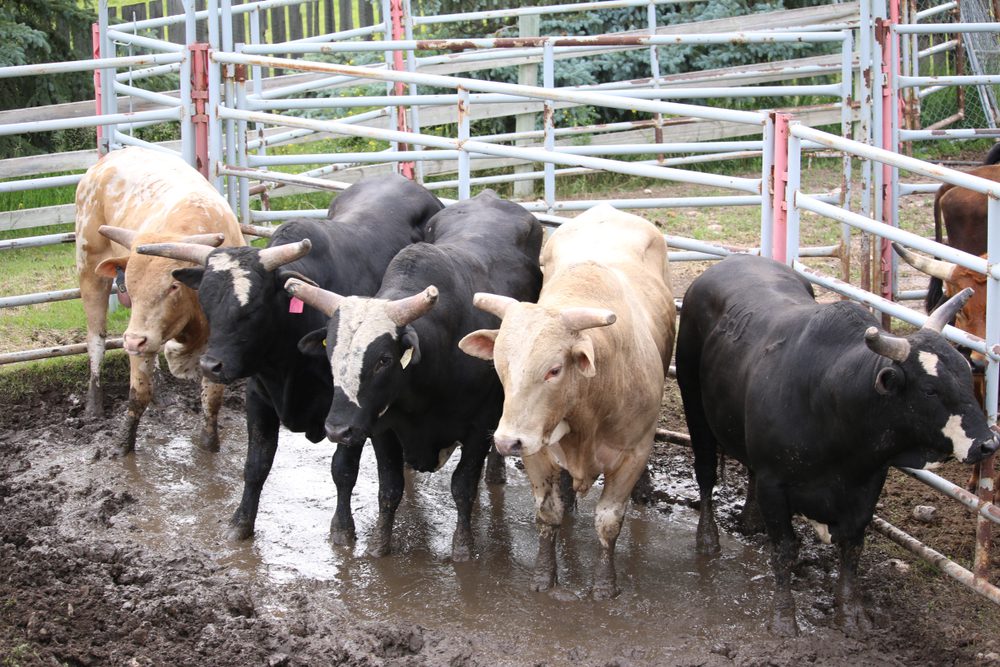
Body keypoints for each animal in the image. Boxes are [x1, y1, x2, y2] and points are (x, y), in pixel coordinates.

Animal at [74, 147, 246, 454]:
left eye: (173, 285)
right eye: (131, 285)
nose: (132, 341)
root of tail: (107, 160)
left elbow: (212, 399)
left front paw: (209, 445)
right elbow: (138, 394)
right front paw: (123, 446)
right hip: (90, 270)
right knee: (96, 339)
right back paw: (94, 404)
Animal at [136, 175, 442, 540]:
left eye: (252, 308)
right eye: (206, 303)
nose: (211, 366)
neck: (286, 363)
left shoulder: (352, 409)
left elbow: (343, 470)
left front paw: (342, 529)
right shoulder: (258, 397)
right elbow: (256, 465)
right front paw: (240, 522)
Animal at [458, 204, 676, 600]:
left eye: (554, 370)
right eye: (499, 365)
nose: (505, 442)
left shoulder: (632, 454)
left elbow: (608, 522)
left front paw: (604, 585)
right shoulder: (536, 450)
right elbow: (548, 514)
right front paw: (544, 576)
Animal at [676, 254, 996, 636]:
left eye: (965, 374)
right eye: (930, 390)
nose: (987, 444)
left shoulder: (868, 483)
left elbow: (852, 546)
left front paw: (851, 611)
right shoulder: (774, 483)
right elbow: (784, 549)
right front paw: (784, 617)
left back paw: (751, 519)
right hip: (694, 406)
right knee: (706, 473)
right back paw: (707, 538)